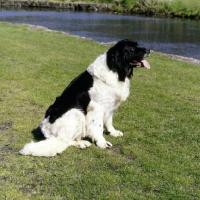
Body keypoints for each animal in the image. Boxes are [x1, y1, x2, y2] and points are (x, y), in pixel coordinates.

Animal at [19, 39, 150, 156]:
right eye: (132, 48)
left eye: (137, 44)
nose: (148, 50)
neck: (116, 70)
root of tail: (45, 130)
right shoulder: (97, 107)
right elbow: (98, 127)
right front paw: (102, 142)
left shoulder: (110, 106)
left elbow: (109, 121)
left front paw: (113, 132)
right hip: (76, 112)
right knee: (63, 141)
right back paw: (81, 143)